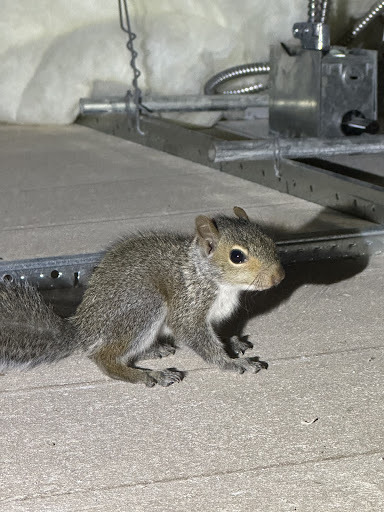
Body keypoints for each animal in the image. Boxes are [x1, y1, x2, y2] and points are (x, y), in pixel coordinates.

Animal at [0, 206, 284, 386]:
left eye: (270, 241)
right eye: (237, 256)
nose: (279, 276)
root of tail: (83, 328)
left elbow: (217, 335)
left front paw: (232, 343)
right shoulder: (188, 306)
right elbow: (198, 338)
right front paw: (233, 364)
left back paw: (154, 350)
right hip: (144, 306)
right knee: (104, 357)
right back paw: (146, 375)